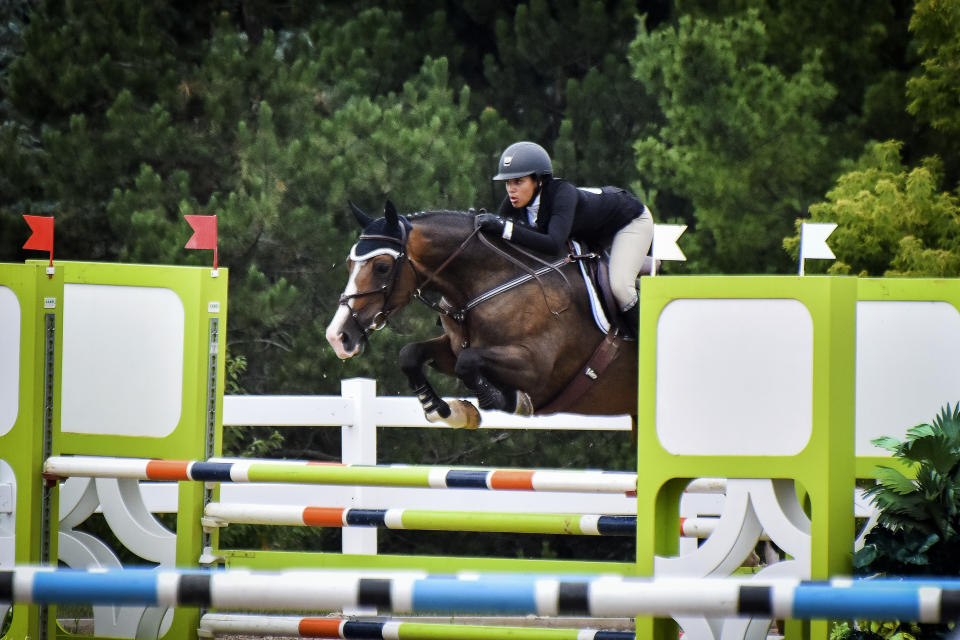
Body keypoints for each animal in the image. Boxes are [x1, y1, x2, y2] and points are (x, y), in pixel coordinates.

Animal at [324, 200, 636, 430]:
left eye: (381, 267)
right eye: (350, 263)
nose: (338, 337)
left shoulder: (538, 368)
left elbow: (468, 362)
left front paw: (508, 400)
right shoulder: (455, 346)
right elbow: (411, 354)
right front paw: (446, 411)